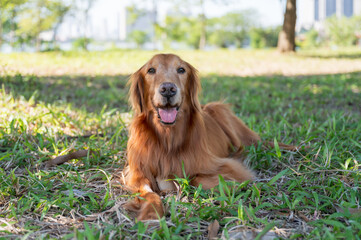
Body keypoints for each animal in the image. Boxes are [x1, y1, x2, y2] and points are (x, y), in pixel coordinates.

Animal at [124, 54, 296, 219]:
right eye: (151, 70)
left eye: (181, 70)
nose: (168, 89)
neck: (167, 138)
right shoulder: (136, 174)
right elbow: (148, 193)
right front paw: (151, 213)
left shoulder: (228, 166)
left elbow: (195, 178)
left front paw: (231, 186)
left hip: (223, 114)